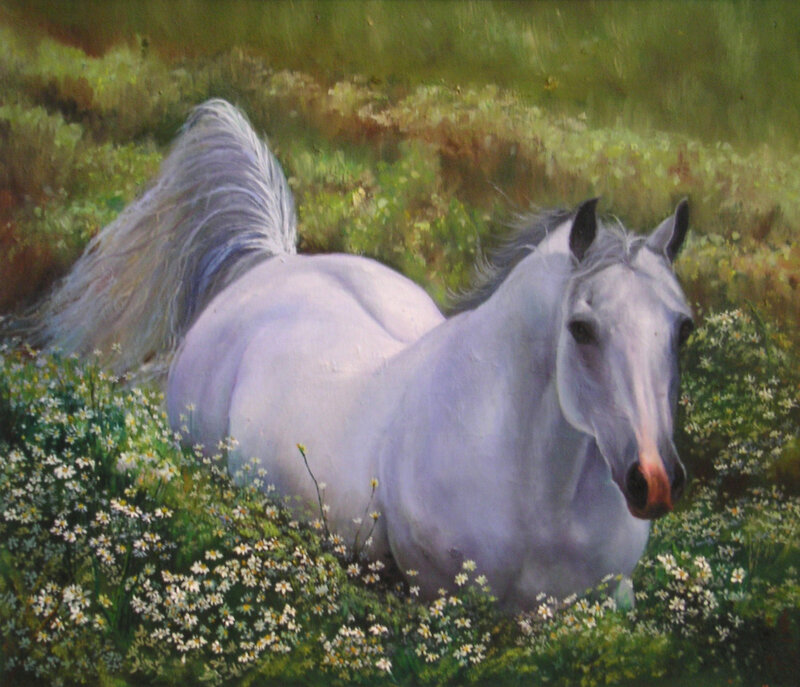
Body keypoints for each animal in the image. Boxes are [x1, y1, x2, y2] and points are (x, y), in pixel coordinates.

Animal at [33, 99, 693, 609]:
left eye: (682, 328)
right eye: (581, 328)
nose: (655, 482)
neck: (542, 499)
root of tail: (275, 261)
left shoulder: (611, 600)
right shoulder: (439, 598)